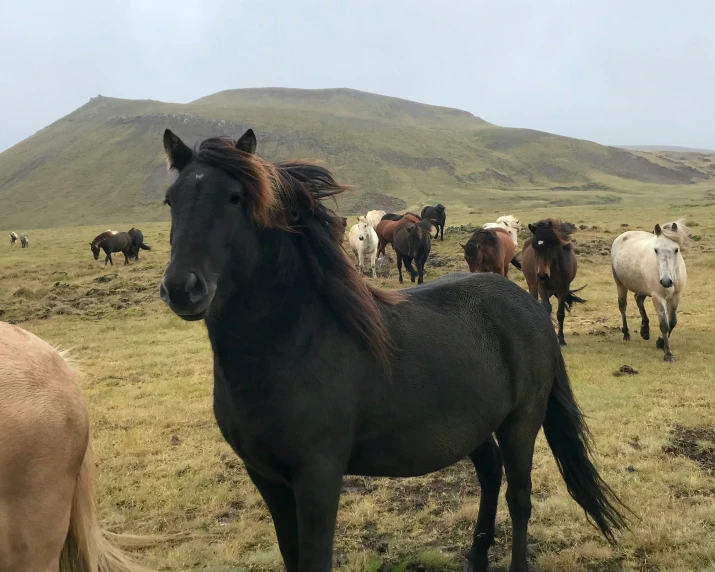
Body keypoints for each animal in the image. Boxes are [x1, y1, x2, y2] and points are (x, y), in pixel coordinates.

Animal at [158, 128, 628, 572]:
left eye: (236, 197)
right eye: (170, 200)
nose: (182, 288)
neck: (291, 345)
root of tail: (530, 308)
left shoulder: (317, 478)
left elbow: (314, 558)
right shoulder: (266, 478)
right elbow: (291, 555)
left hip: (521, 422)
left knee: (520, 498)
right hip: (475, 423)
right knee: (491, 476)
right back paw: (475, 557)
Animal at [612, 219, 692, 362]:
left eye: (676, 249)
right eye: (656, 250)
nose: (666, 282)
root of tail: (623, 235)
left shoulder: (676, 296)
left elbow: (672, 321)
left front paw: (660, 342)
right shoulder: (657, 296)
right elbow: (664, 324)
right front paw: (668, 354)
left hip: (643, 288)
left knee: (638, 299)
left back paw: (645, 330)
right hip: (620, 284)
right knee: (622, 306)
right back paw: (626, 333)